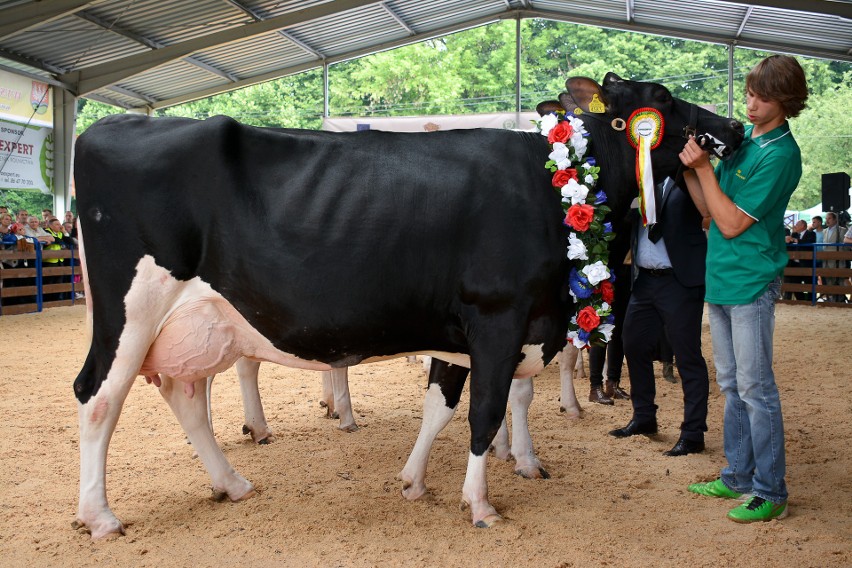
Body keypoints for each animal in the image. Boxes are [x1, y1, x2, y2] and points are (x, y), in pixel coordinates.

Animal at [71, 73, 740, 540]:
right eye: (664, 102)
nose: (732, 130)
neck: (554, 178)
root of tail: (107, 126)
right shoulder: (497, 319)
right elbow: (484, 414)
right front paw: (481, 504)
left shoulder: (463, 332)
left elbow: (439, 408)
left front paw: (415, 481)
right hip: (131, 313)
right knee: (98, 398)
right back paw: (99, 516)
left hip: (198, 323)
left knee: (184, 396)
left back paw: (232, 484)